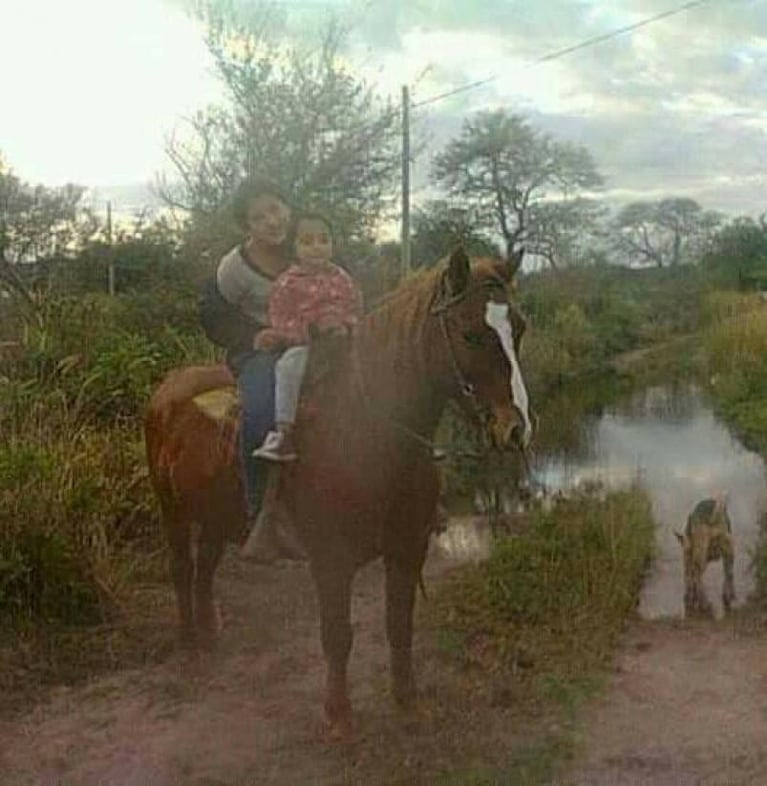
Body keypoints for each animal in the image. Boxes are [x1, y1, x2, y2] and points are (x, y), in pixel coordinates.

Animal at [148, 250, 536, 736]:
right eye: (470, 332)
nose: (516, 429)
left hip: (216, 516)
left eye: (518, 327)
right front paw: (339, 716)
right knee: (182, 570)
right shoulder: (331, 560)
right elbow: (337, 635)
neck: (369, 432)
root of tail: (168, 390)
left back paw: (209, 634)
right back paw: (188, 642)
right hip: (172, 511)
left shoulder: (408, 549)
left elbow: (398, 624)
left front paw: (407, 701)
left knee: (205, 569)